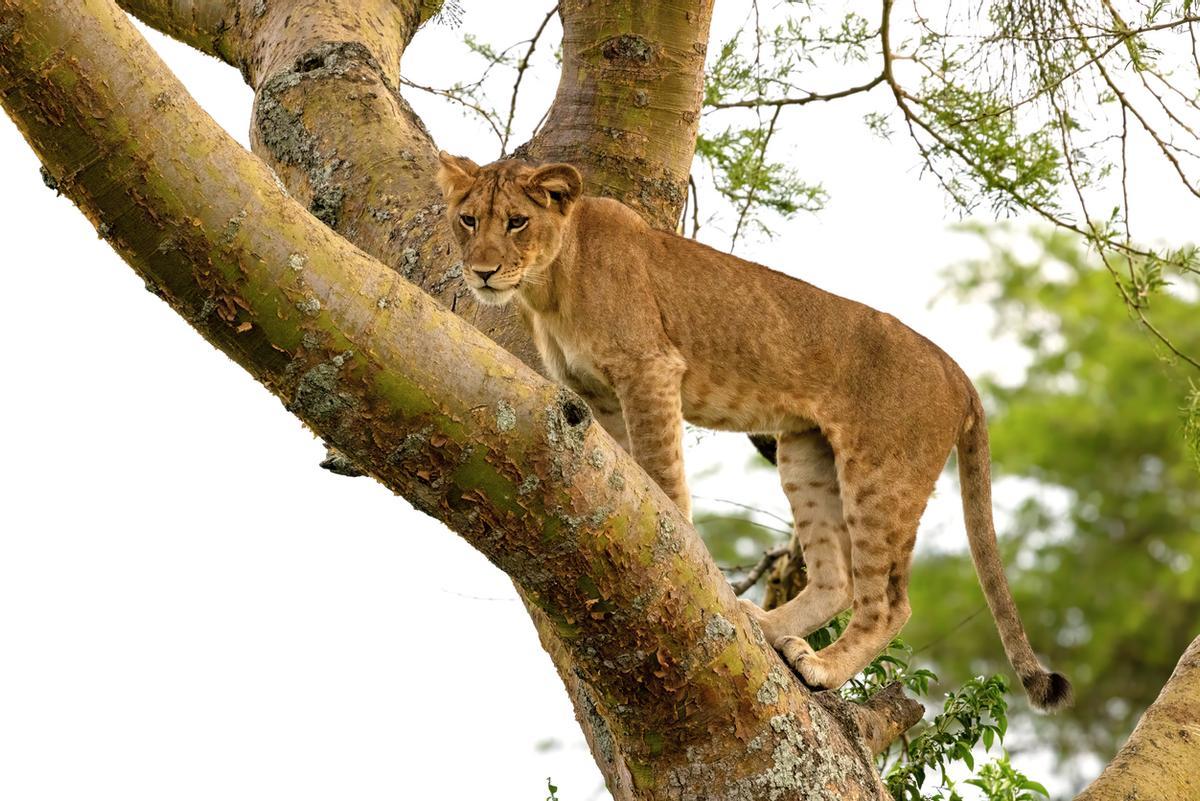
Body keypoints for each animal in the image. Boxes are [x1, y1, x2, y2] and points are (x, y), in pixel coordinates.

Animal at [434, 152, 1071, 710]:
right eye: (468, 220)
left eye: (517, 222)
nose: (482, 271)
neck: (550, 286)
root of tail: (956, 369)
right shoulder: (599, 398)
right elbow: (623, 470)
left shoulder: (650, 369)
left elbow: (661, 472)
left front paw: (673, 537)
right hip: (806, 454)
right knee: (836, 580)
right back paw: (764, 626)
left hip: (881, 476)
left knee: (889, 603)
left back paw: (819, 667)